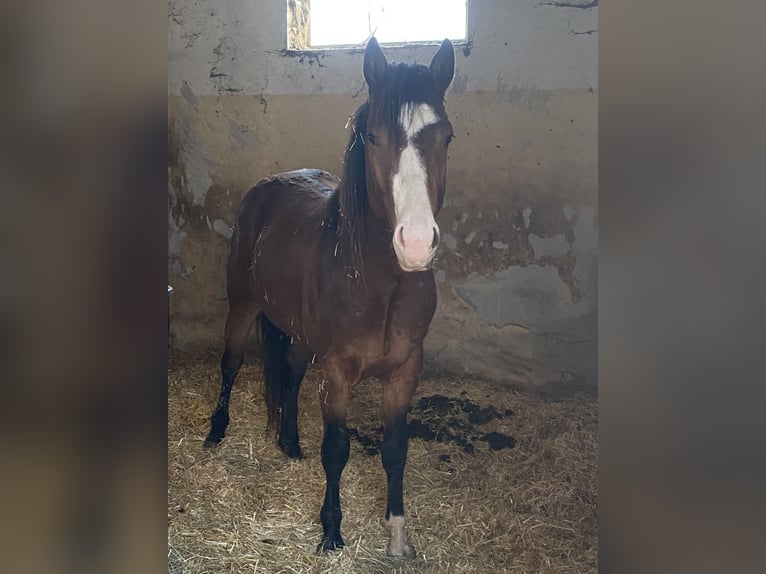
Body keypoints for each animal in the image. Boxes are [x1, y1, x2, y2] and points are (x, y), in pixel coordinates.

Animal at [203, 36, 455, 559]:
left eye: (446, 137)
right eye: (373, 137)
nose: (416, 243)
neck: (379, 282)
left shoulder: (405, 370)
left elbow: (395, 448)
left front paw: (397, 534)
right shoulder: (337, 371)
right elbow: (336, 449)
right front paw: (331, 532)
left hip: (299, 335)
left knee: (291, 374)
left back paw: (290, 443)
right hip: (242, 307)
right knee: (231, 364)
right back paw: (216, 432)